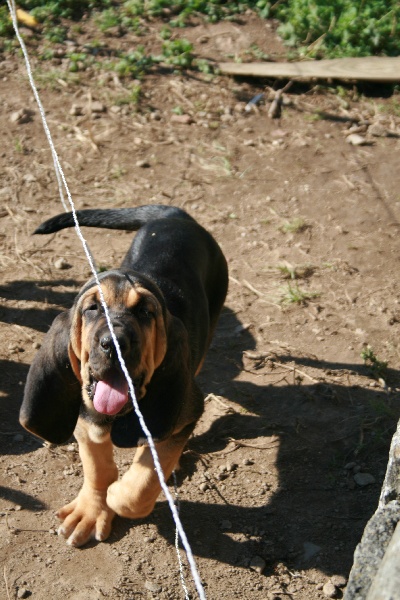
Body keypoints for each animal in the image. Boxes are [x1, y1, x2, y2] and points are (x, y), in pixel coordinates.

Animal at [21, 204, 228, 548]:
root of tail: (175, 216)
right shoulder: (86, 420)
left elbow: (141, 482)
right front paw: (91, 510)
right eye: (92, 308)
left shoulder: (179, 417)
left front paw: (117, 495)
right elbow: (97, 469)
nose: (114, 343)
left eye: (145, 311)